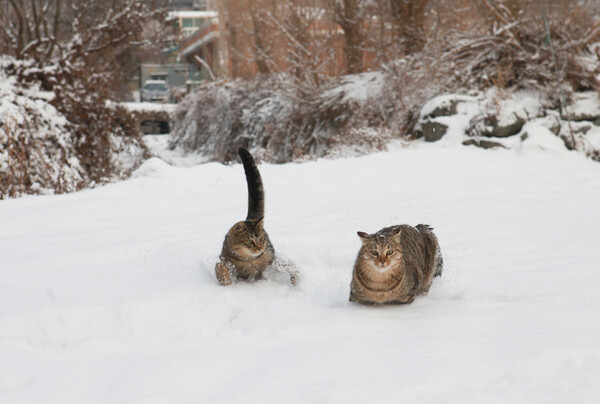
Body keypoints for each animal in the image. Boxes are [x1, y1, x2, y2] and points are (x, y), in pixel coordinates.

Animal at [214, 147, 276, 286]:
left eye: (261, 239)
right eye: (250, 241)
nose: (259, 248)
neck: (248, 260)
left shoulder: (269, 258)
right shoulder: (223, 260)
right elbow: (220, 267)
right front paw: (225, 281)